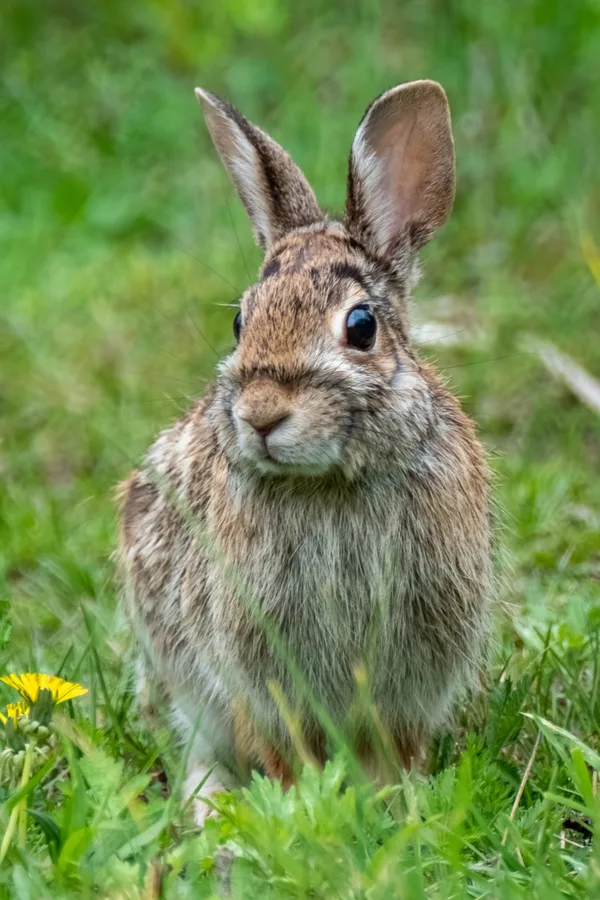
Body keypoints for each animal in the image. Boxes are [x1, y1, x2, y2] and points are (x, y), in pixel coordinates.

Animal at [117, 81, 492, 828]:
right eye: (242, 320)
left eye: (361, 326)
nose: (262, 414)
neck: (330, 482)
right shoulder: (259, 671)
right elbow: (285, 749)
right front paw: (306, 810)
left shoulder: (412, 674)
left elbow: (394, 749)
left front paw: (396, 808)